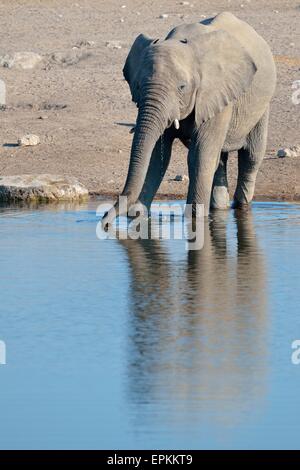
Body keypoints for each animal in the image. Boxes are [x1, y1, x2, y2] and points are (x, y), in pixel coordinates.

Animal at [102, 11, 276, 229]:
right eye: (139, 86)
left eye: (182, 87)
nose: (105, 223)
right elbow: (158, 154)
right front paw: (139, 215)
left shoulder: (215, 92)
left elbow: (199, 155)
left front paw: (195, 218)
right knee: (219, 159)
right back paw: (219, 208)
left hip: (262, 104)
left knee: (251, 155)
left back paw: (241, 205)